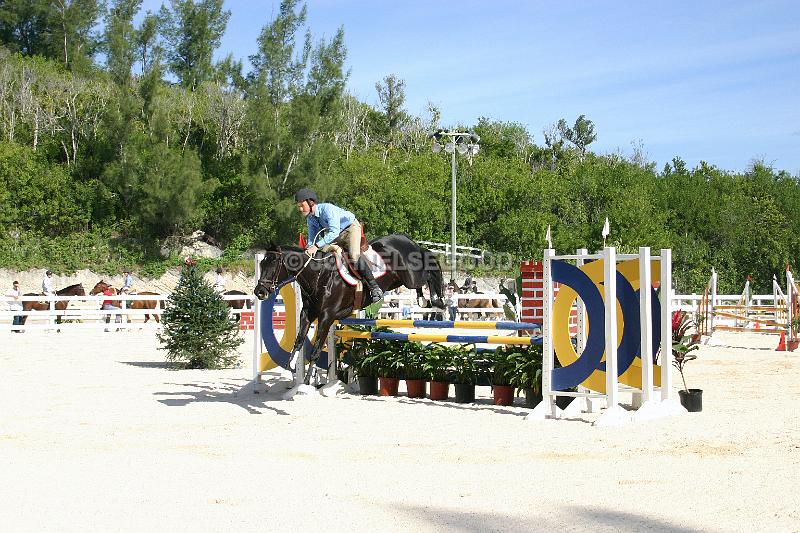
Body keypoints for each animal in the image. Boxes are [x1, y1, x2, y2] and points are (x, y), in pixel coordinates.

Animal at [255, 234, 446, 378]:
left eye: (273, 264)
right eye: (262, 264)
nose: (259, 292)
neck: (319, 275)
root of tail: (406, 238)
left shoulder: (326, 317)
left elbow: (316, 350)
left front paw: (308, 380)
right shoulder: (307, 313)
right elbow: (299, 341)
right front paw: (292, 366)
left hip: (412, 277)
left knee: (430, 267)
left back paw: (437, 300)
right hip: (399, 280)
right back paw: (423, 298)